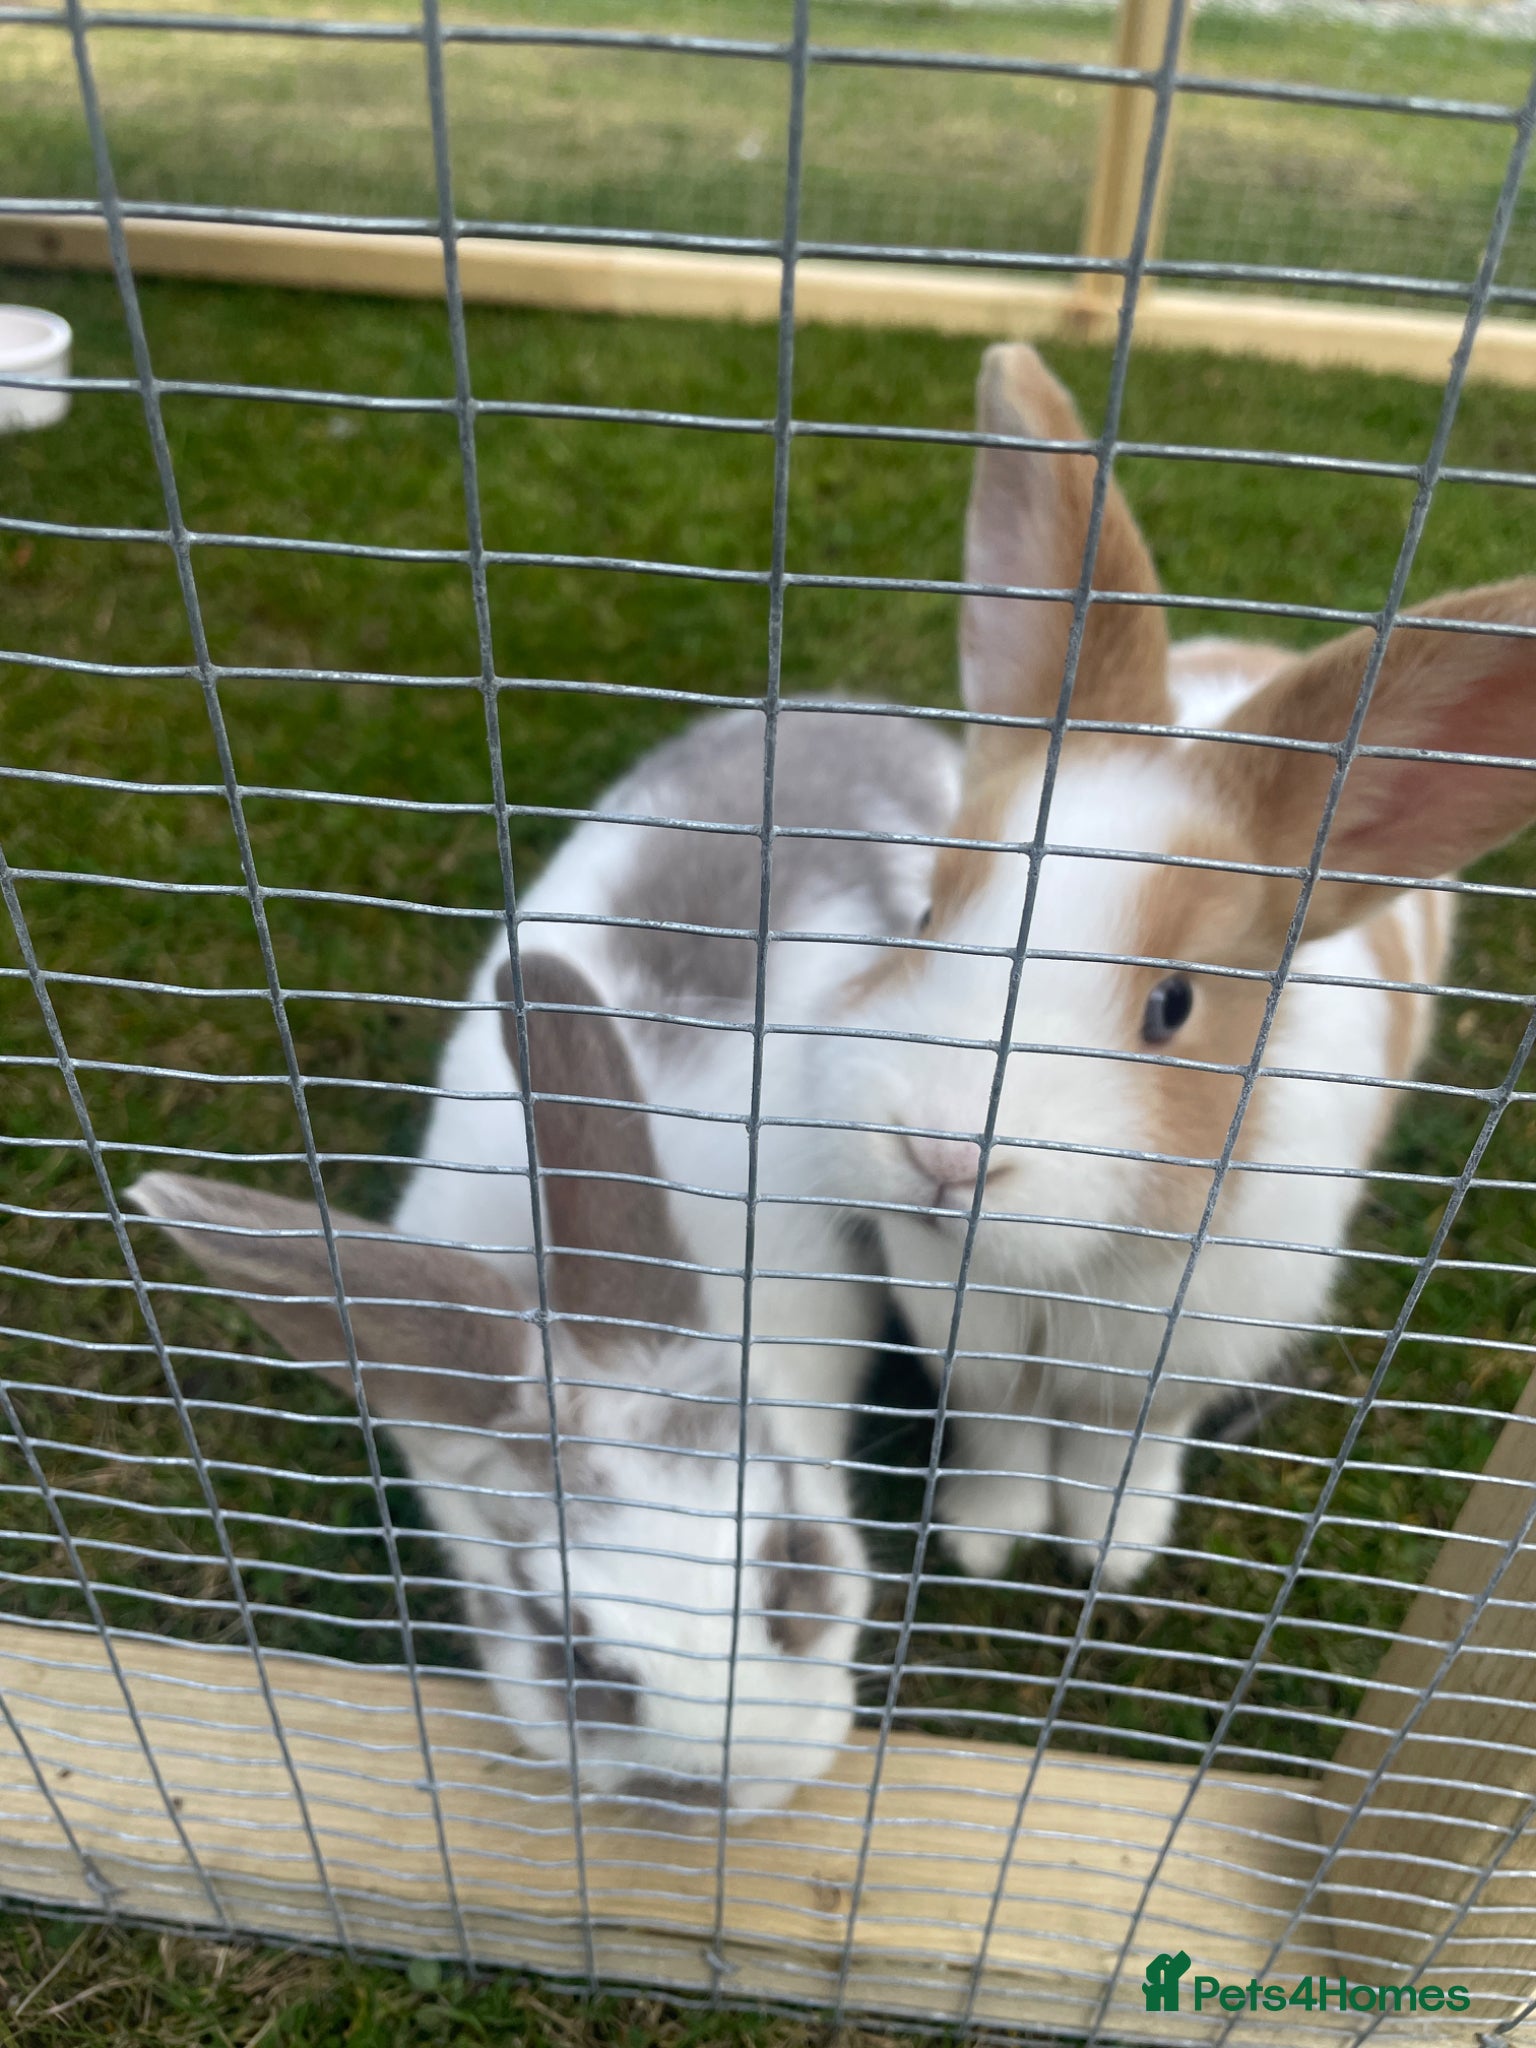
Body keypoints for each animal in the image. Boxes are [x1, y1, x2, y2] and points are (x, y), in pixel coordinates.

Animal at [808, 341, 1536, 1592]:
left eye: (1174, 1004)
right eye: (929, 909)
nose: (942, 1156)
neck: (1072, 1270)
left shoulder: (1171, 1369)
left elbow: (1121, 1451)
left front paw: (1112, 1552)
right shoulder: (980, 1353)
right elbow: (1004, 1435)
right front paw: (990, 1537)